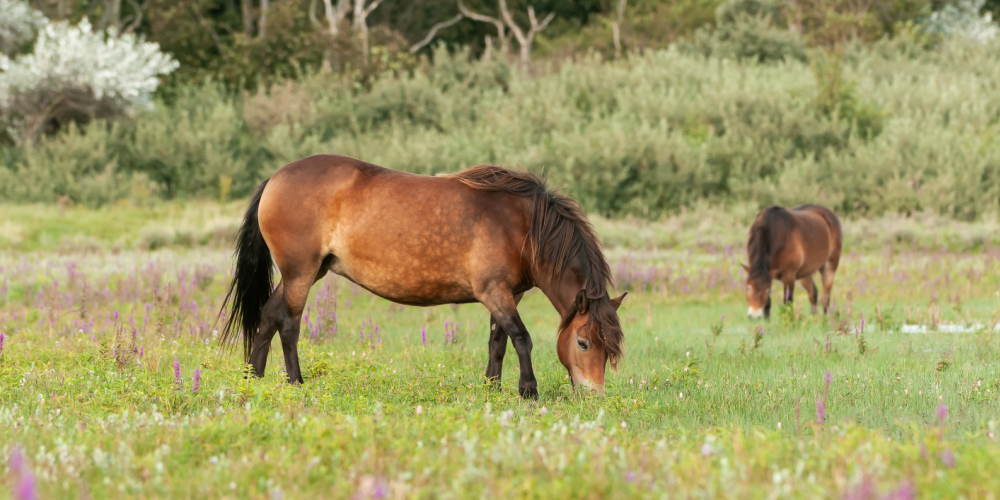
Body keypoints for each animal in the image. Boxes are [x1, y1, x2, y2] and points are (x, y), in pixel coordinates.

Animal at [219, 154, 627, 399]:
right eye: (583, 343)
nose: (594, 394)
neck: (522, 226)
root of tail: (275, 178)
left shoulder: (508, 294)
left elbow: (498, 341)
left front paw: (492, 387)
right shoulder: (494, 291)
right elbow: (522, 339)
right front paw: (528, 390)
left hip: (306, 272)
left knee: (268, 316)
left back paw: (253, 378)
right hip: (300, 272)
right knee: (288, 323)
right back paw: (295, 382)